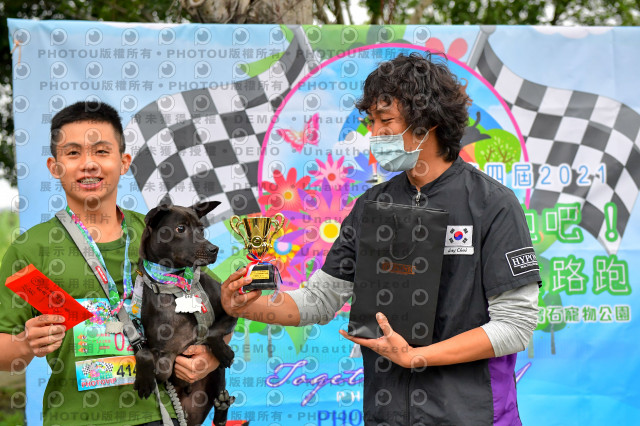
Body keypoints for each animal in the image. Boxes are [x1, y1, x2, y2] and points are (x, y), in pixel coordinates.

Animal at [133, 201, 238, 426]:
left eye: (201, 229)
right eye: (180, 229)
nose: (214, 249)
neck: (176, 285)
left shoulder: (232, 310)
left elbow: (211, 332)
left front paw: (224, 352)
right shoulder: (163, 362)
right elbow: (144, 353)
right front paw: (144, 381)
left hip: (216, 375)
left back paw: (222, 405)